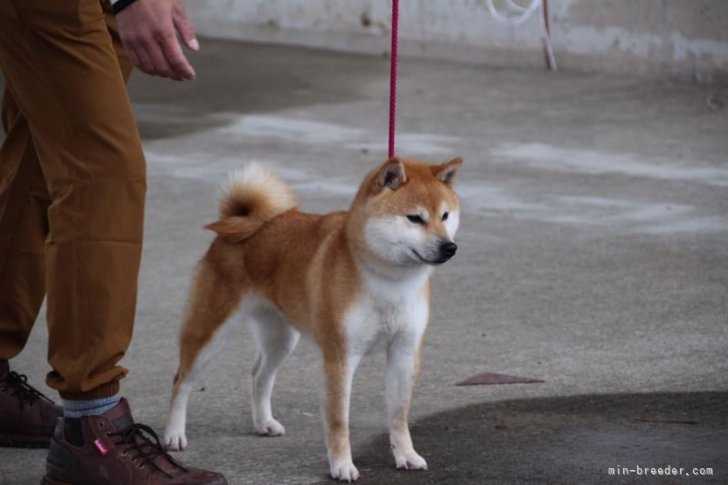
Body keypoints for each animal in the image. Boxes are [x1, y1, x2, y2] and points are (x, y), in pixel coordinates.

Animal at [164, 158, 460, 480]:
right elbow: (338, 420)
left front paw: (406, 455)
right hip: (211, 329)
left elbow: (398, 415)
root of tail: (242, 220)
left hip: (281, 338)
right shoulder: (340, 356)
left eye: (445, 216)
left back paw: (263, 423)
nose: (449, 247)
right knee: (182, 380)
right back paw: (173, 434)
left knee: (259, 375)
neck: (388, 280)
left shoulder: (404, 352)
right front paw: (342, 465)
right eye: (414, 218)